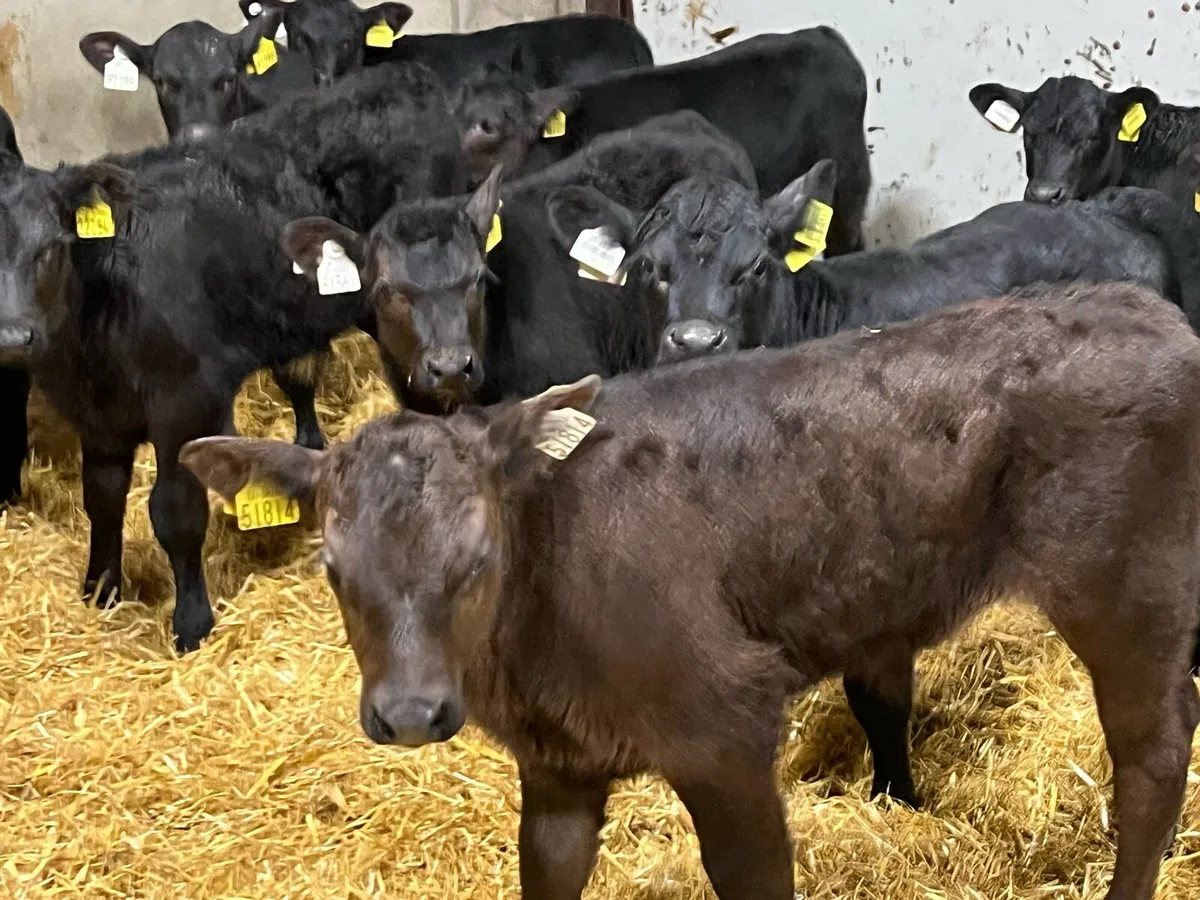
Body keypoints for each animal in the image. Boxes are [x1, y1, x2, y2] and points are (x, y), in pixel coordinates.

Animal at [0, 65, 464, 653]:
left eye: (50, 247)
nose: (12, 336)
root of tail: (403, 74)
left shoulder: (184, 404)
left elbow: (175, 512)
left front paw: (191, 623)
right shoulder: (98, 418)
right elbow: (102, 498)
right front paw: (100, 591)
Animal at [180, 282, 1200, 900]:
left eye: (476, 560)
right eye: (333, 570)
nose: (408, 713)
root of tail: (1149, 310)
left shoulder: (725, 727)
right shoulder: (557, 767)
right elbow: (546, 874)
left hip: (1126, 589)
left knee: (1152, 753)